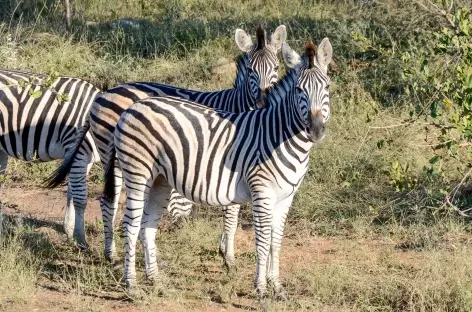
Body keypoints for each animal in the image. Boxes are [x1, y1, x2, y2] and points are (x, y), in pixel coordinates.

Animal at [0, 69, 100, 247]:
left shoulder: (82, 160)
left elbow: (71, 194)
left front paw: (70, 231)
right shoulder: (78, 155)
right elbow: (80, 199)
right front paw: (81, 240)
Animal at [45, 25, 288, 268]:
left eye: (276, 68)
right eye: (250, 70)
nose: (263, 102)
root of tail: (105, 92)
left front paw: (223, 250)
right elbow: (232, 212)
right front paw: (229, 257)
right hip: (110, 155)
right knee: (108, 200)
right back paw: (110, 252)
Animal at [104, 39, 332, 300]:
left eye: (326, 87)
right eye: (298, 90)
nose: (316, 130)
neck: (279, 135)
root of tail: (132, 107)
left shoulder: (286, 197)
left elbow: (276, 242)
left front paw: (278, 288)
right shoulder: (262, 192)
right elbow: (263, 242)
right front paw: (261, 289)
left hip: (159, 180)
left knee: (147, 227)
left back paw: (156, 282)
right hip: (137, 173)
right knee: (130, 226)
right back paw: (132, 286)